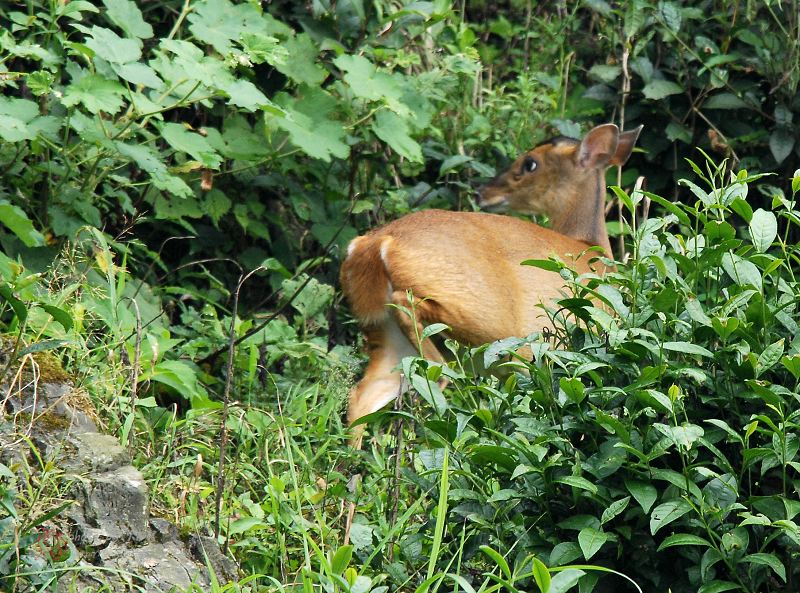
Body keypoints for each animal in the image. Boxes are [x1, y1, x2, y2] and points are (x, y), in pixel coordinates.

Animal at [340, 122, 640, 442]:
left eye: (530, 163)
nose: (483, 191)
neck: (593, 251)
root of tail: (377, 242)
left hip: (385, 333)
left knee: (362, 396)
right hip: (489, 321)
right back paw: (441, 375)